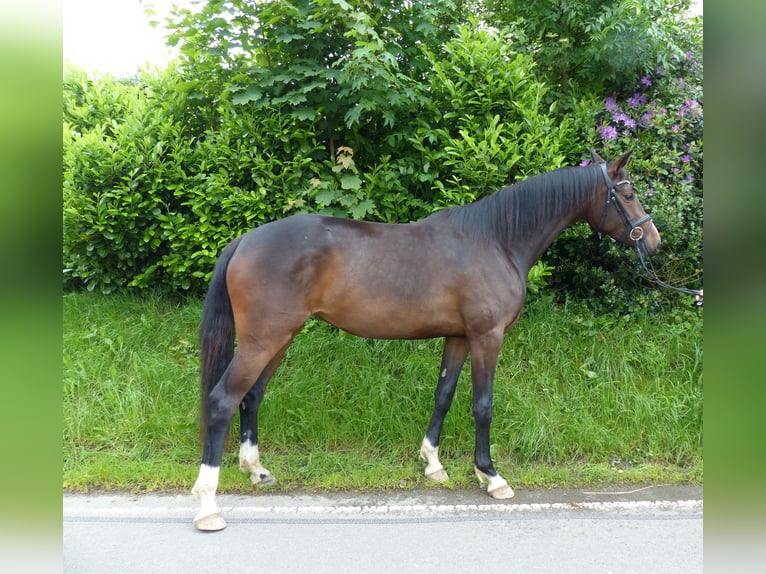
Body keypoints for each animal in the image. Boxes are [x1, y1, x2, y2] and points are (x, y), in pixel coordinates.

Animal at [190, 148, 660, 532]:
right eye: (629, 193)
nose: (653, 241)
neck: (497, 240)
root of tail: (245, 240)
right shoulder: (487, 337)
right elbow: (482, 406)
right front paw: (491, 476)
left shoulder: (458, 337)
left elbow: (444, 395)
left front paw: (433, 464)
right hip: (263, 340)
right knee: (223, 400)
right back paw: (208, 504)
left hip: (278, 339)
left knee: (251, 397)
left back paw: (256, 471)